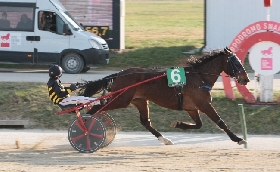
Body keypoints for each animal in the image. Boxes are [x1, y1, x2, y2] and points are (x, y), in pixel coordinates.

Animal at [79, 47, 249, 145]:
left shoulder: (192, 107)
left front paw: (178, 124)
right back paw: (86, 128)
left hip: (140, 101)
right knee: (97, 108)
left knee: (145, 122)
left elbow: (199, 124)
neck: (199, 77)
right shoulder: (204, 104)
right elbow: (220, 122)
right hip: (121, 99)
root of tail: (119, 74)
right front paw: (238, 139)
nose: (246, 79)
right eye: (236, 63)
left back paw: (165, 139)